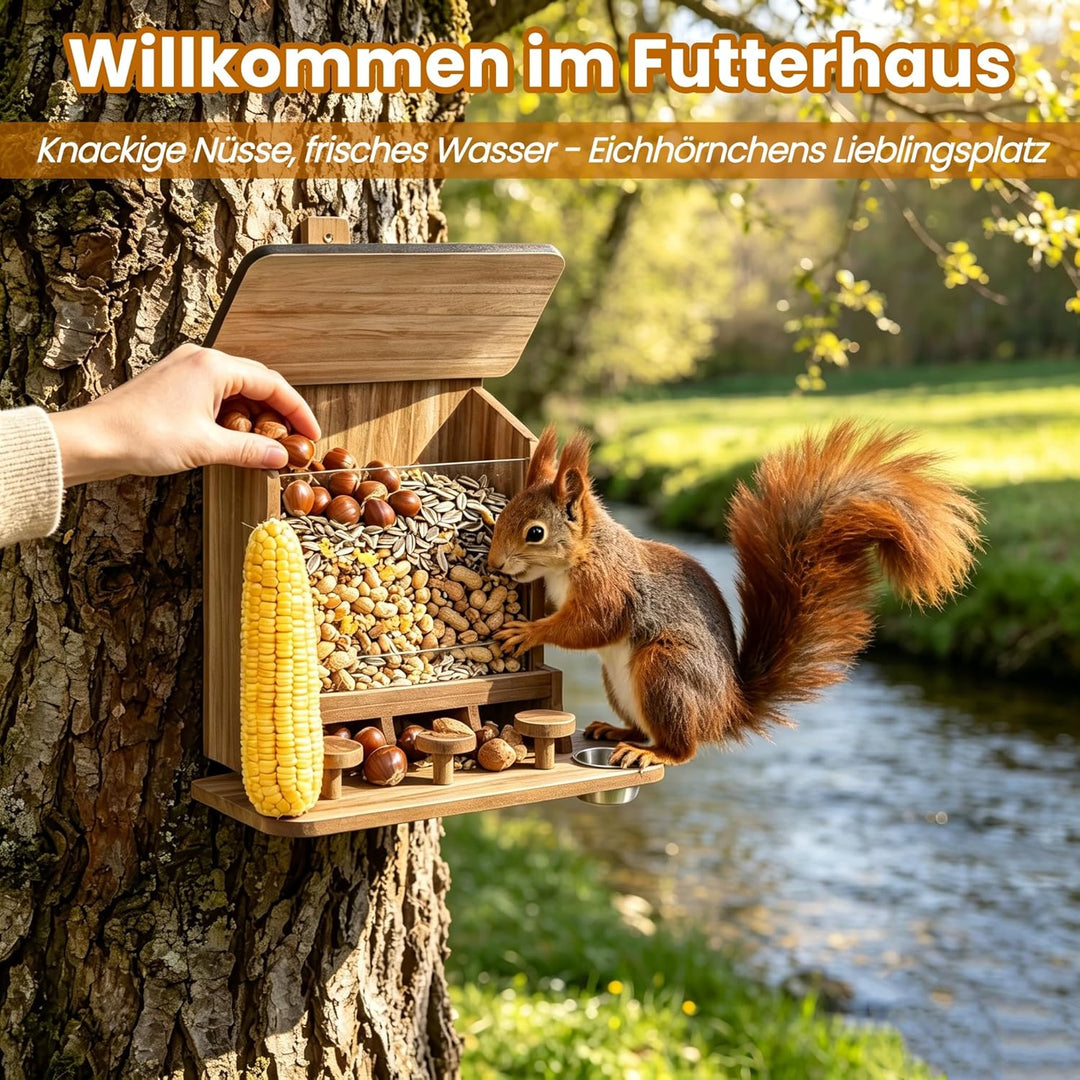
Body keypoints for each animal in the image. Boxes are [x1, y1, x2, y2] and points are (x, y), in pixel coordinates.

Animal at [489, 421, 982, 769]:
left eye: (535, 532)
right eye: (503, 514)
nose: (493, 563)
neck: (577, 558)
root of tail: (727, 710)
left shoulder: (611, 586)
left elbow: (593, 625)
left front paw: (528, 632)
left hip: (666, 670)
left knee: (681, 748)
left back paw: (652, 753)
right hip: (622, 683)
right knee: (645, 729)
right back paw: (617, 733)